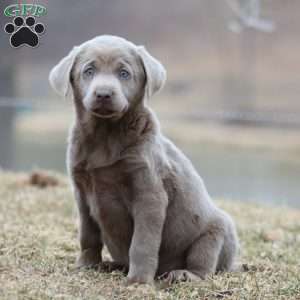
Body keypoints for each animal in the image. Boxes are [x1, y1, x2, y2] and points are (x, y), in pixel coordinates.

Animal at [49, 35, 239, 284]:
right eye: (88, 71)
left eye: (124, 73)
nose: (103, 94)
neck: (105, 136)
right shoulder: (81, 190)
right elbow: (88, 235)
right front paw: (87, 265)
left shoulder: (149, 194)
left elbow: (142, 242)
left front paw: (138, 280)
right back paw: (111, 265)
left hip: (216, 229)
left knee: (204, 264)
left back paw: (183, 274)